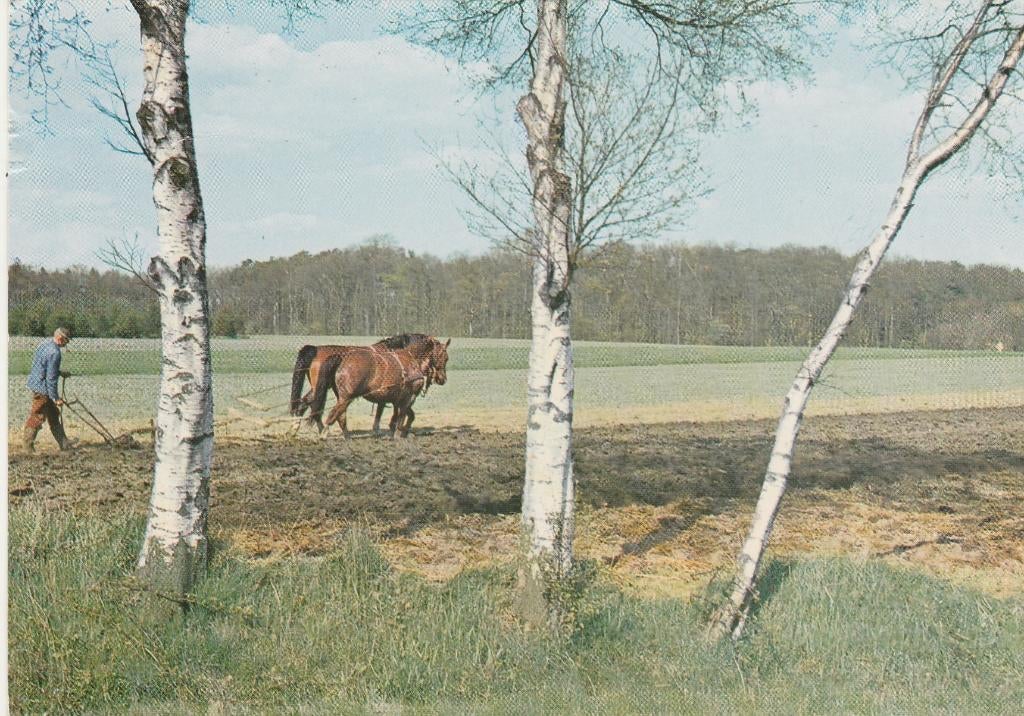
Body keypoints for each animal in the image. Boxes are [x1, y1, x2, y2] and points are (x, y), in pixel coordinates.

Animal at [311, 336, 450, 438]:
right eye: (445, 357)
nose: (442, 379)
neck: (412, 359)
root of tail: (342, 359)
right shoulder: (408, 397)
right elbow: (403, 416)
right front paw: (400, 433)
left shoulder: (396, 399)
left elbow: (404, 415)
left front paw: (397, 430)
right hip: (346, 397)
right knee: (333, 414)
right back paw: (324, 433)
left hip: (343, 397)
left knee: (340, 415)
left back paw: (346, 436)